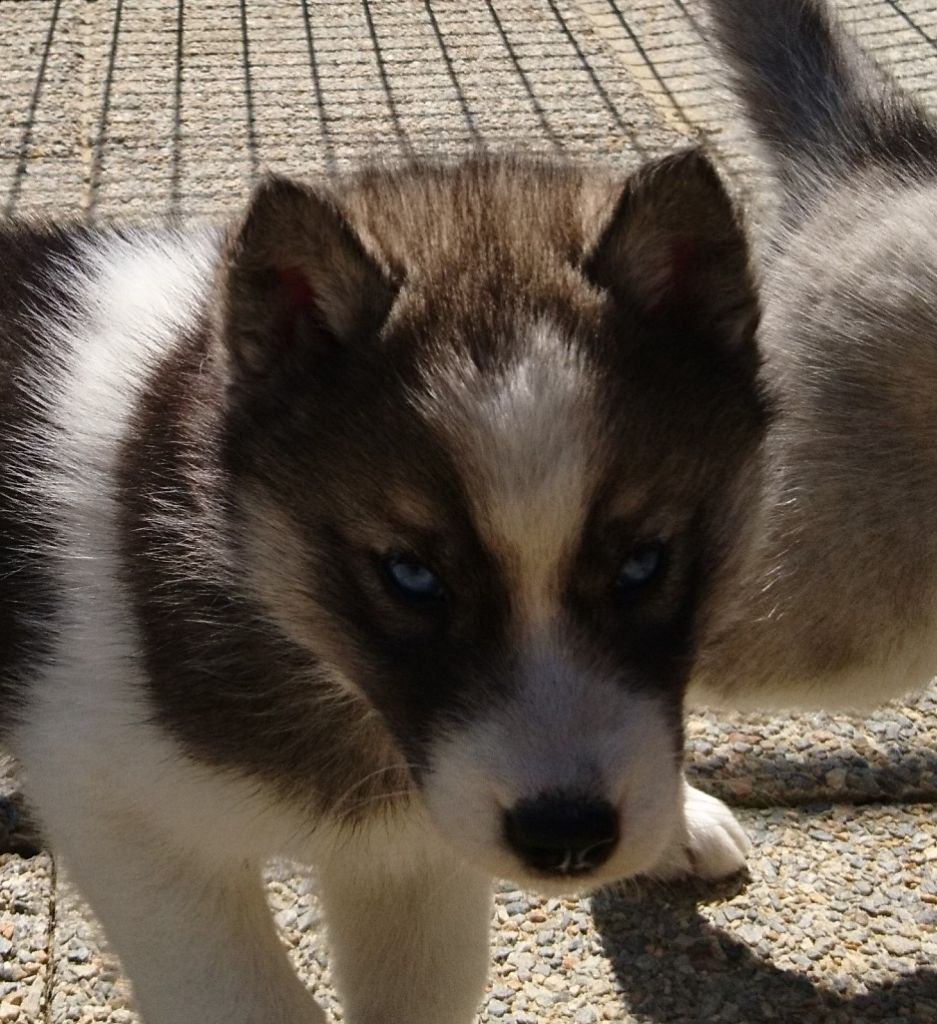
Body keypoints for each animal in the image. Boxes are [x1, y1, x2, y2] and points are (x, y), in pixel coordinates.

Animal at [0, 153, 761, 1024]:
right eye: (410, 574)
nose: (567, 838)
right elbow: (247, 998)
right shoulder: (118, 809)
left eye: (643, 563)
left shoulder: (411, 849)